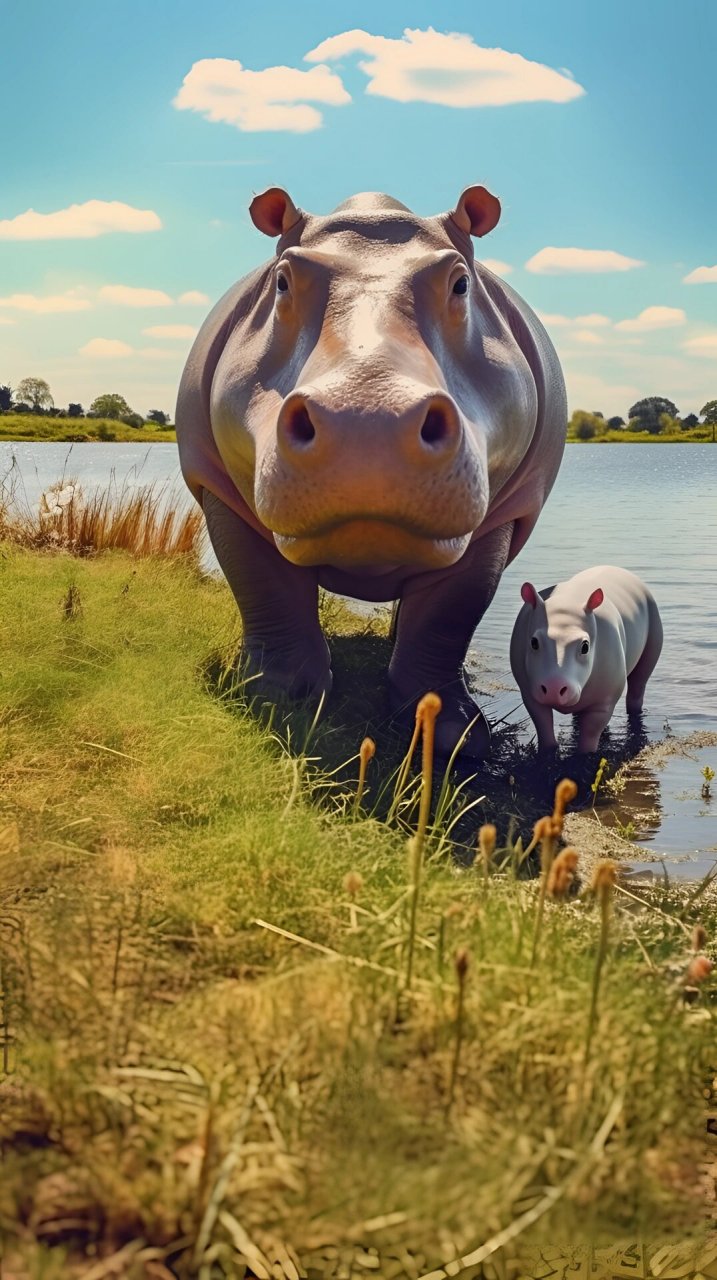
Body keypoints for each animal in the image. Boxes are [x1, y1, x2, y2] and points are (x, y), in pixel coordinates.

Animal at [175, 185, 565, 752]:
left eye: (461, 281)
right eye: (283, 279)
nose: (367, 415)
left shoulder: (506, 512)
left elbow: (450, 614)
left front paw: (453, 732)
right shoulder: (217, 487)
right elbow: (263, 587)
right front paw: (275, 700)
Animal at [507, 560, 665, 747]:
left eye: (585, 647)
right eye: (533, 642)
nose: (553, 690)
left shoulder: (604, 701)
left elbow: (590, 735)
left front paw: (586, 751)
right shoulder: (530, 693)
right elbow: (543, 726)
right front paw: (548, 750)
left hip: (652, 612)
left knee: (639, 681)